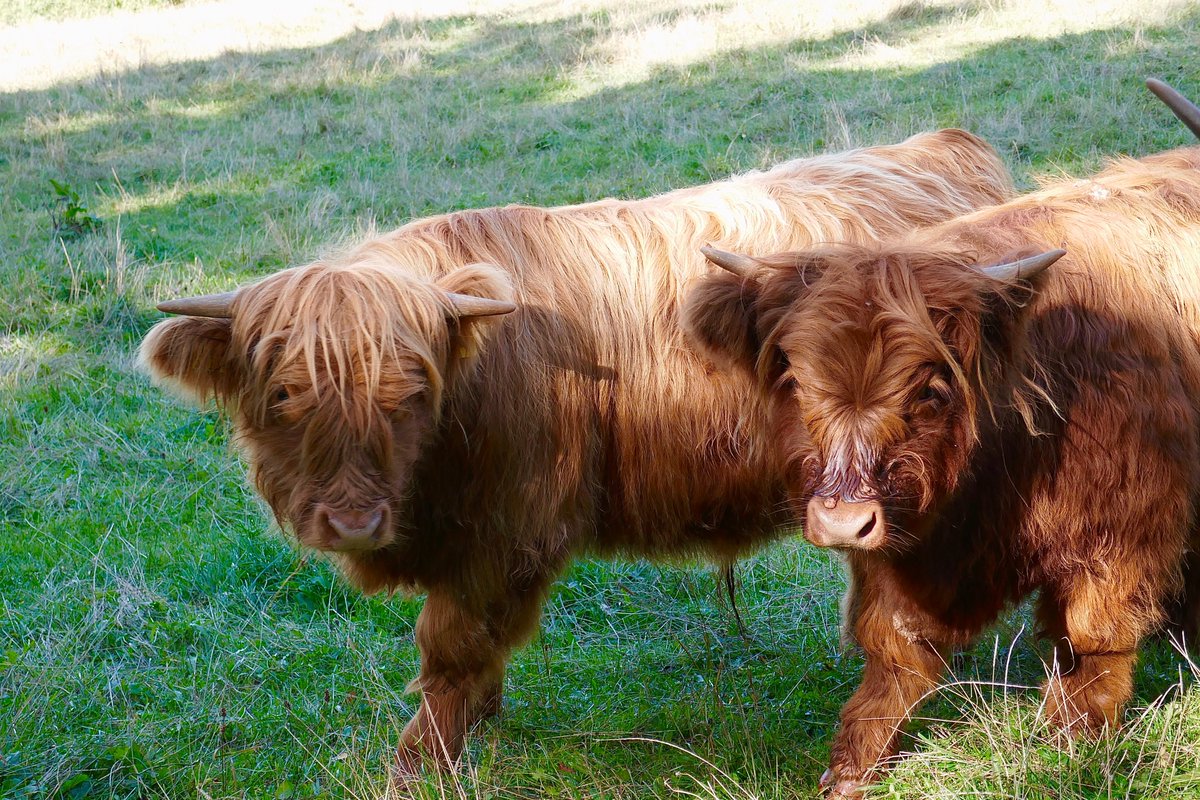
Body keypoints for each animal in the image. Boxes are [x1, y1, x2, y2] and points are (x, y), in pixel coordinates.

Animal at [139, 128, 1011, 778]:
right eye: (286, 394)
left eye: (407, 393)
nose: (353, 521)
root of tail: (943, 150)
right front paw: (478, 719)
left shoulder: (505, 534)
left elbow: (448, 649)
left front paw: (421, 761)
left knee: (901, 632)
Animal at [683, 99, 1200, 798]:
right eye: (795, 379)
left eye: (931, 390)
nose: (844, 522)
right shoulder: (902, 549)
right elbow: (893, 650)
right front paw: (851, 767)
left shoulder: (1125, 528)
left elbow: (1094, 637)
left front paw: (1068, 745)